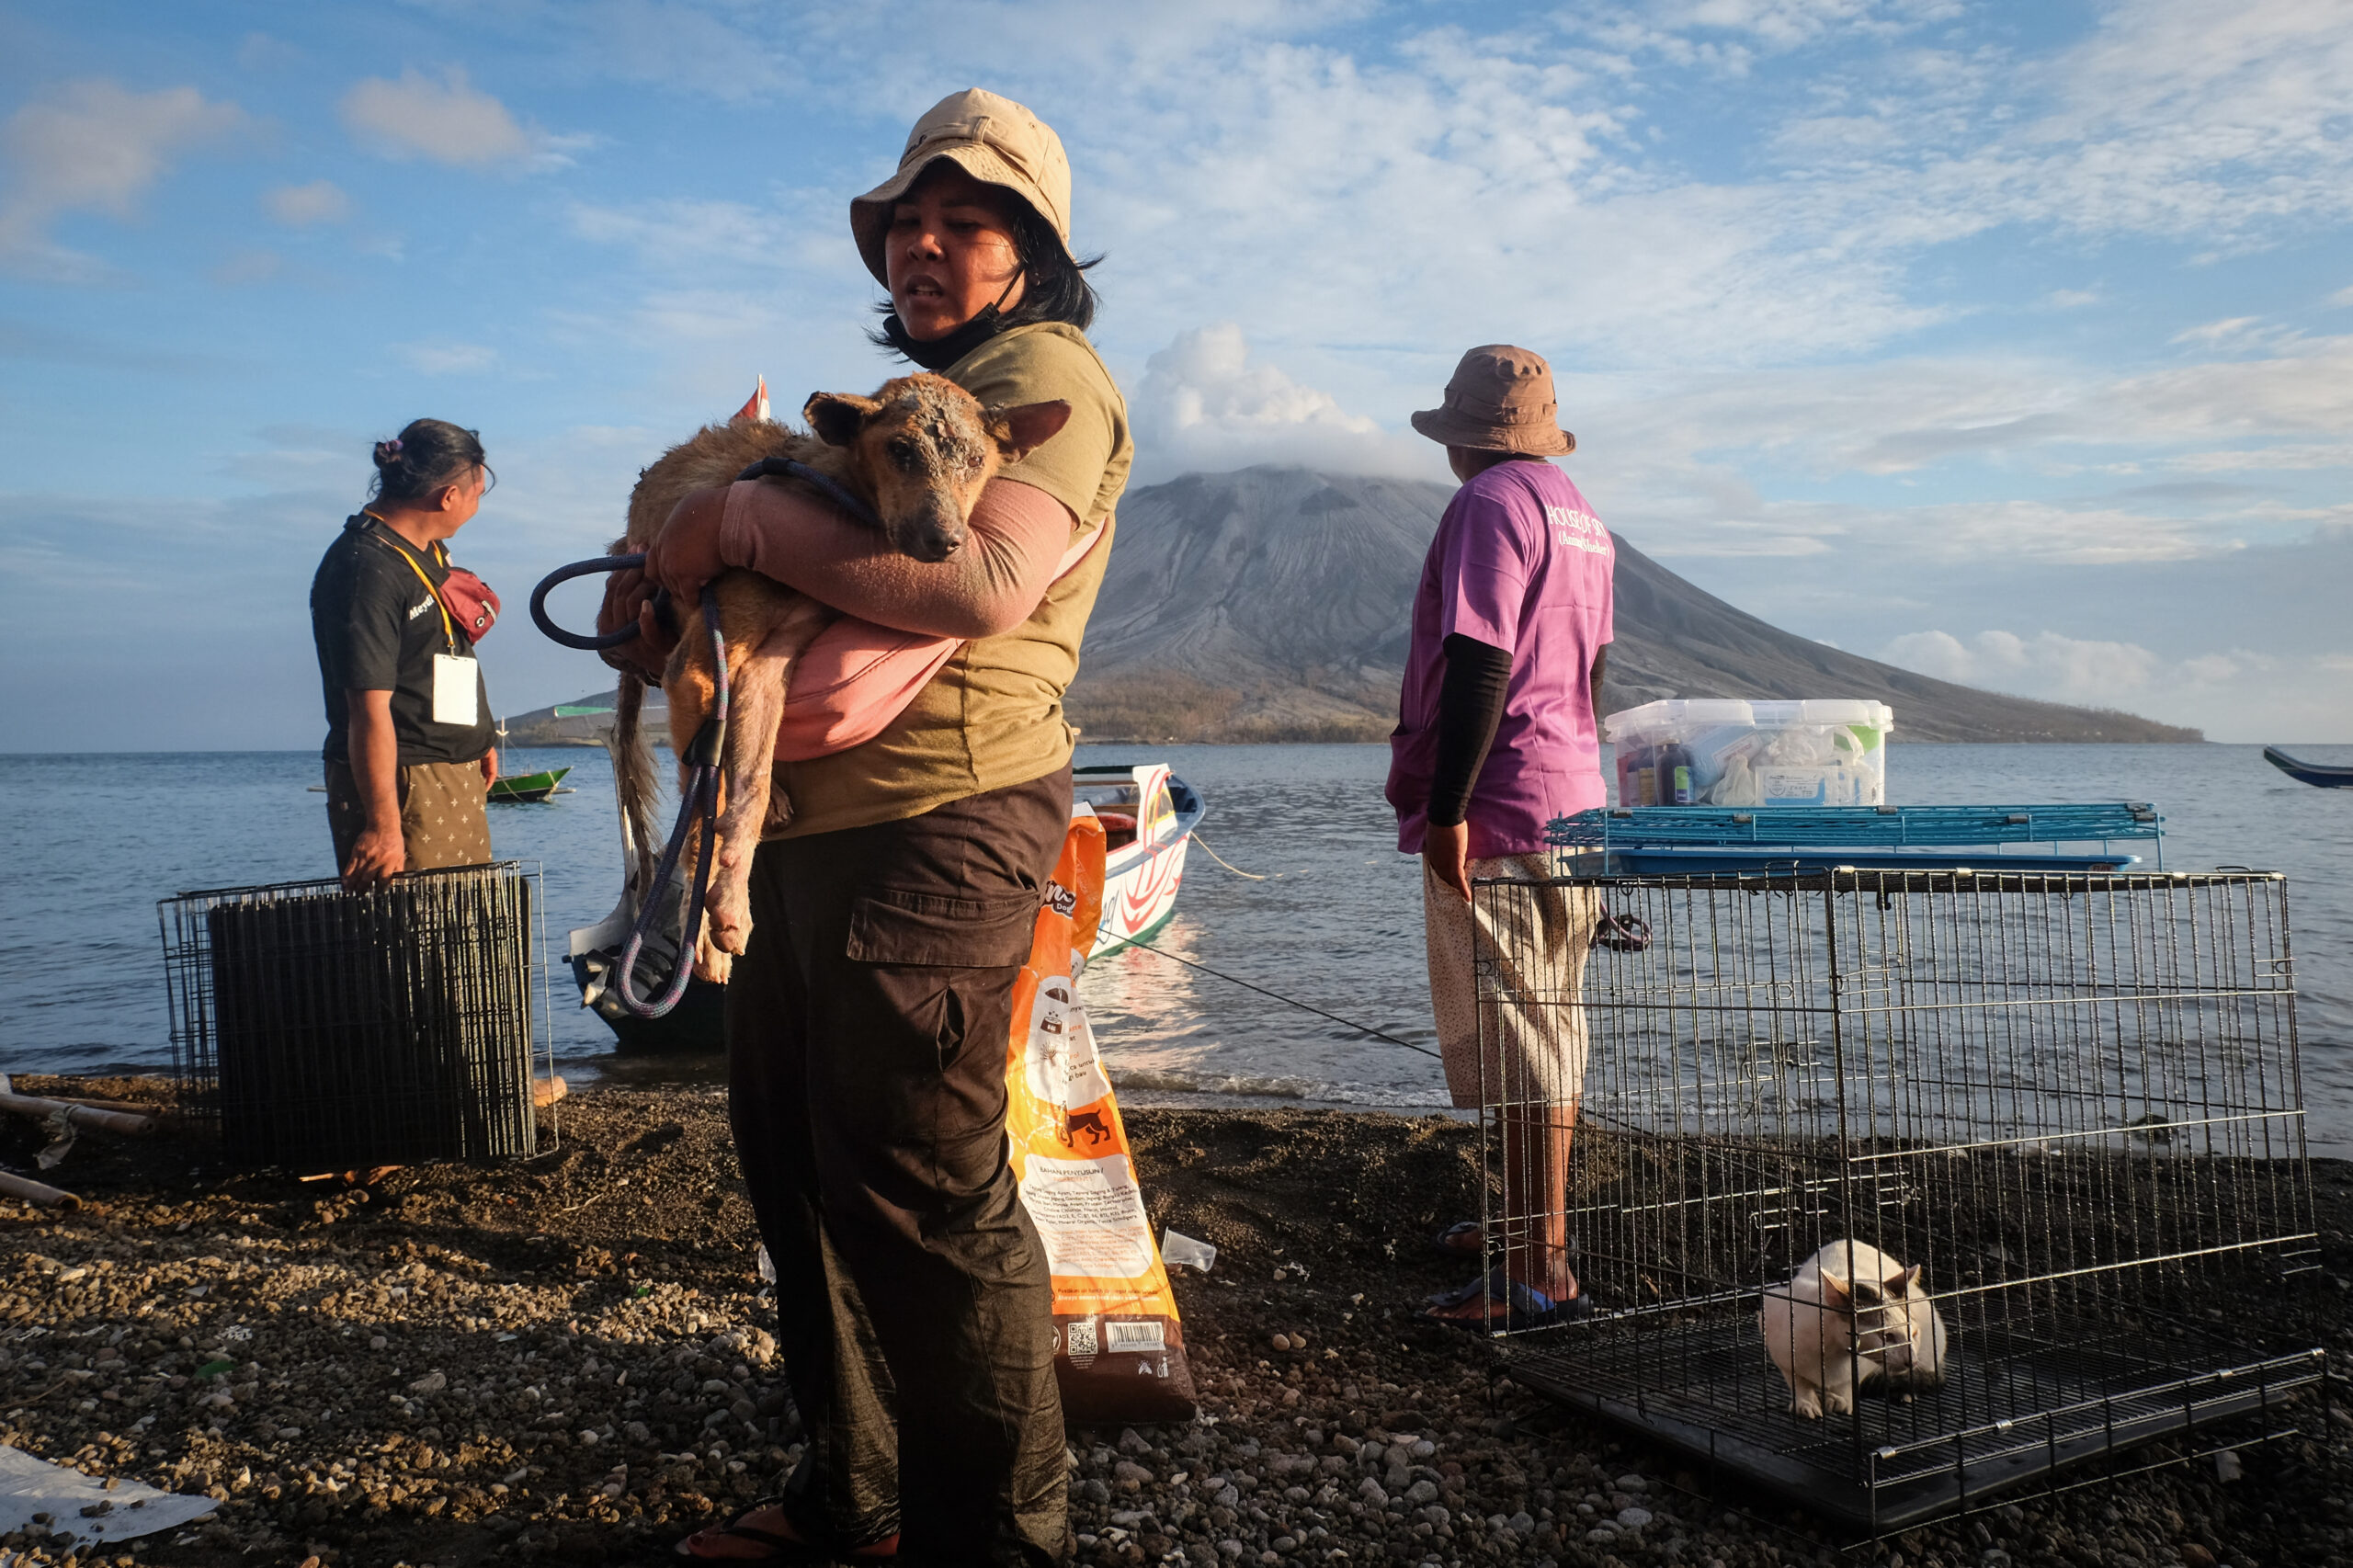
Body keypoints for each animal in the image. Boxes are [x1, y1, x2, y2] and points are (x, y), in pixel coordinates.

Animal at [616, 376, 1077, 979]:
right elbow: (702, 815)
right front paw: (709, 937)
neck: (823, 486)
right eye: (900, 450)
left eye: (978, 460)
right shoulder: (695, 668)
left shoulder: (771, 664)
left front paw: (730, 904)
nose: (946, 541)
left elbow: (750, 786)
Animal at [1769, 1233, 1948, 1412]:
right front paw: (1806, 1402)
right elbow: (1796, 1379)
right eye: (1887, 1336)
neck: (1831, 1351)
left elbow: (1847, 1383)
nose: (1912, 1361)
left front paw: (1839, 1398)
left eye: (1914, 1333)